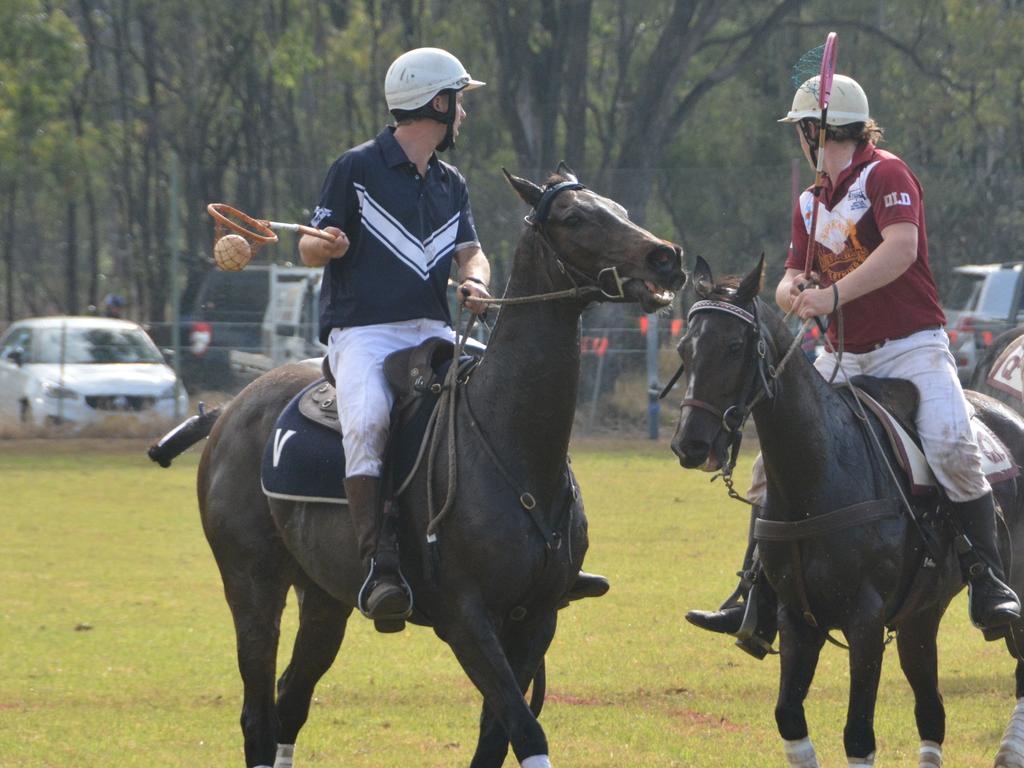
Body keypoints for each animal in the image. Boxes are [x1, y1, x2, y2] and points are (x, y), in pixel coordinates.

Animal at [195, 167, 684, 768]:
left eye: (619, 208)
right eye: (574, 217)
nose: (666, 257)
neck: (514, 444)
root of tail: (228, 410)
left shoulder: (536, 618)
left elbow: (496, 735)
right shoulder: (464, 617)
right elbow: (526, 731)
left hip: (325, 593)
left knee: (291, 699)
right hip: (251, 582)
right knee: (258, 714)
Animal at [667, 259, 1024, 768]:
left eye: (735, 347)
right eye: (684, 347)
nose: (691, 445)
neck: (819, 473)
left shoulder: (866, 621)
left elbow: (858, 734)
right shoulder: (797, 618)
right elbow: (788, 716)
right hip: (921, 615)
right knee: (931, 709)